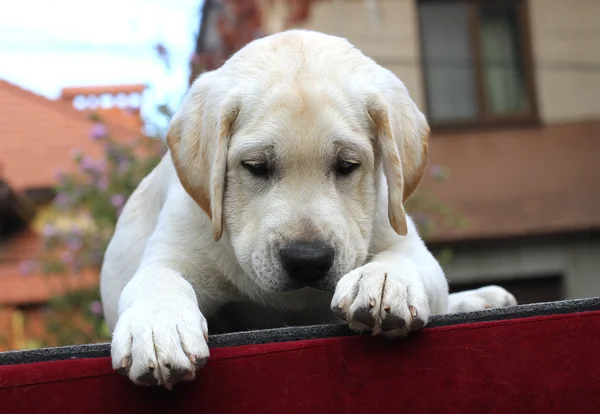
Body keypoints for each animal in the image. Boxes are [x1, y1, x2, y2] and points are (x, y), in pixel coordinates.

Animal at [99, 29, 516, 388]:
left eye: (347, 165)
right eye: (256, 166)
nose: (307, 260)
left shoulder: (404, 239)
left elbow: (404, 260)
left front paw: (383, 280)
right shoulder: (174, 250)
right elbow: (159, 278)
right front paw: (158, 327)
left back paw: (483, 297)